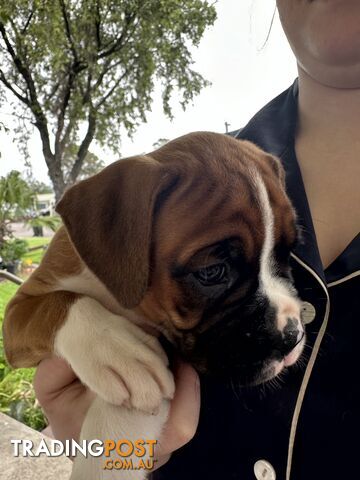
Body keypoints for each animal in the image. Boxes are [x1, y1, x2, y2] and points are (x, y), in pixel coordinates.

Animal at [3, 132, 306, 480]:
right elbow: (55, 305)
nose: (292, 336)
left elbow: (121, 420)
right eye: (211, 272)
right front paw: (116, 350)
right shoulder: (18, 311)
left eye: (288, 252)